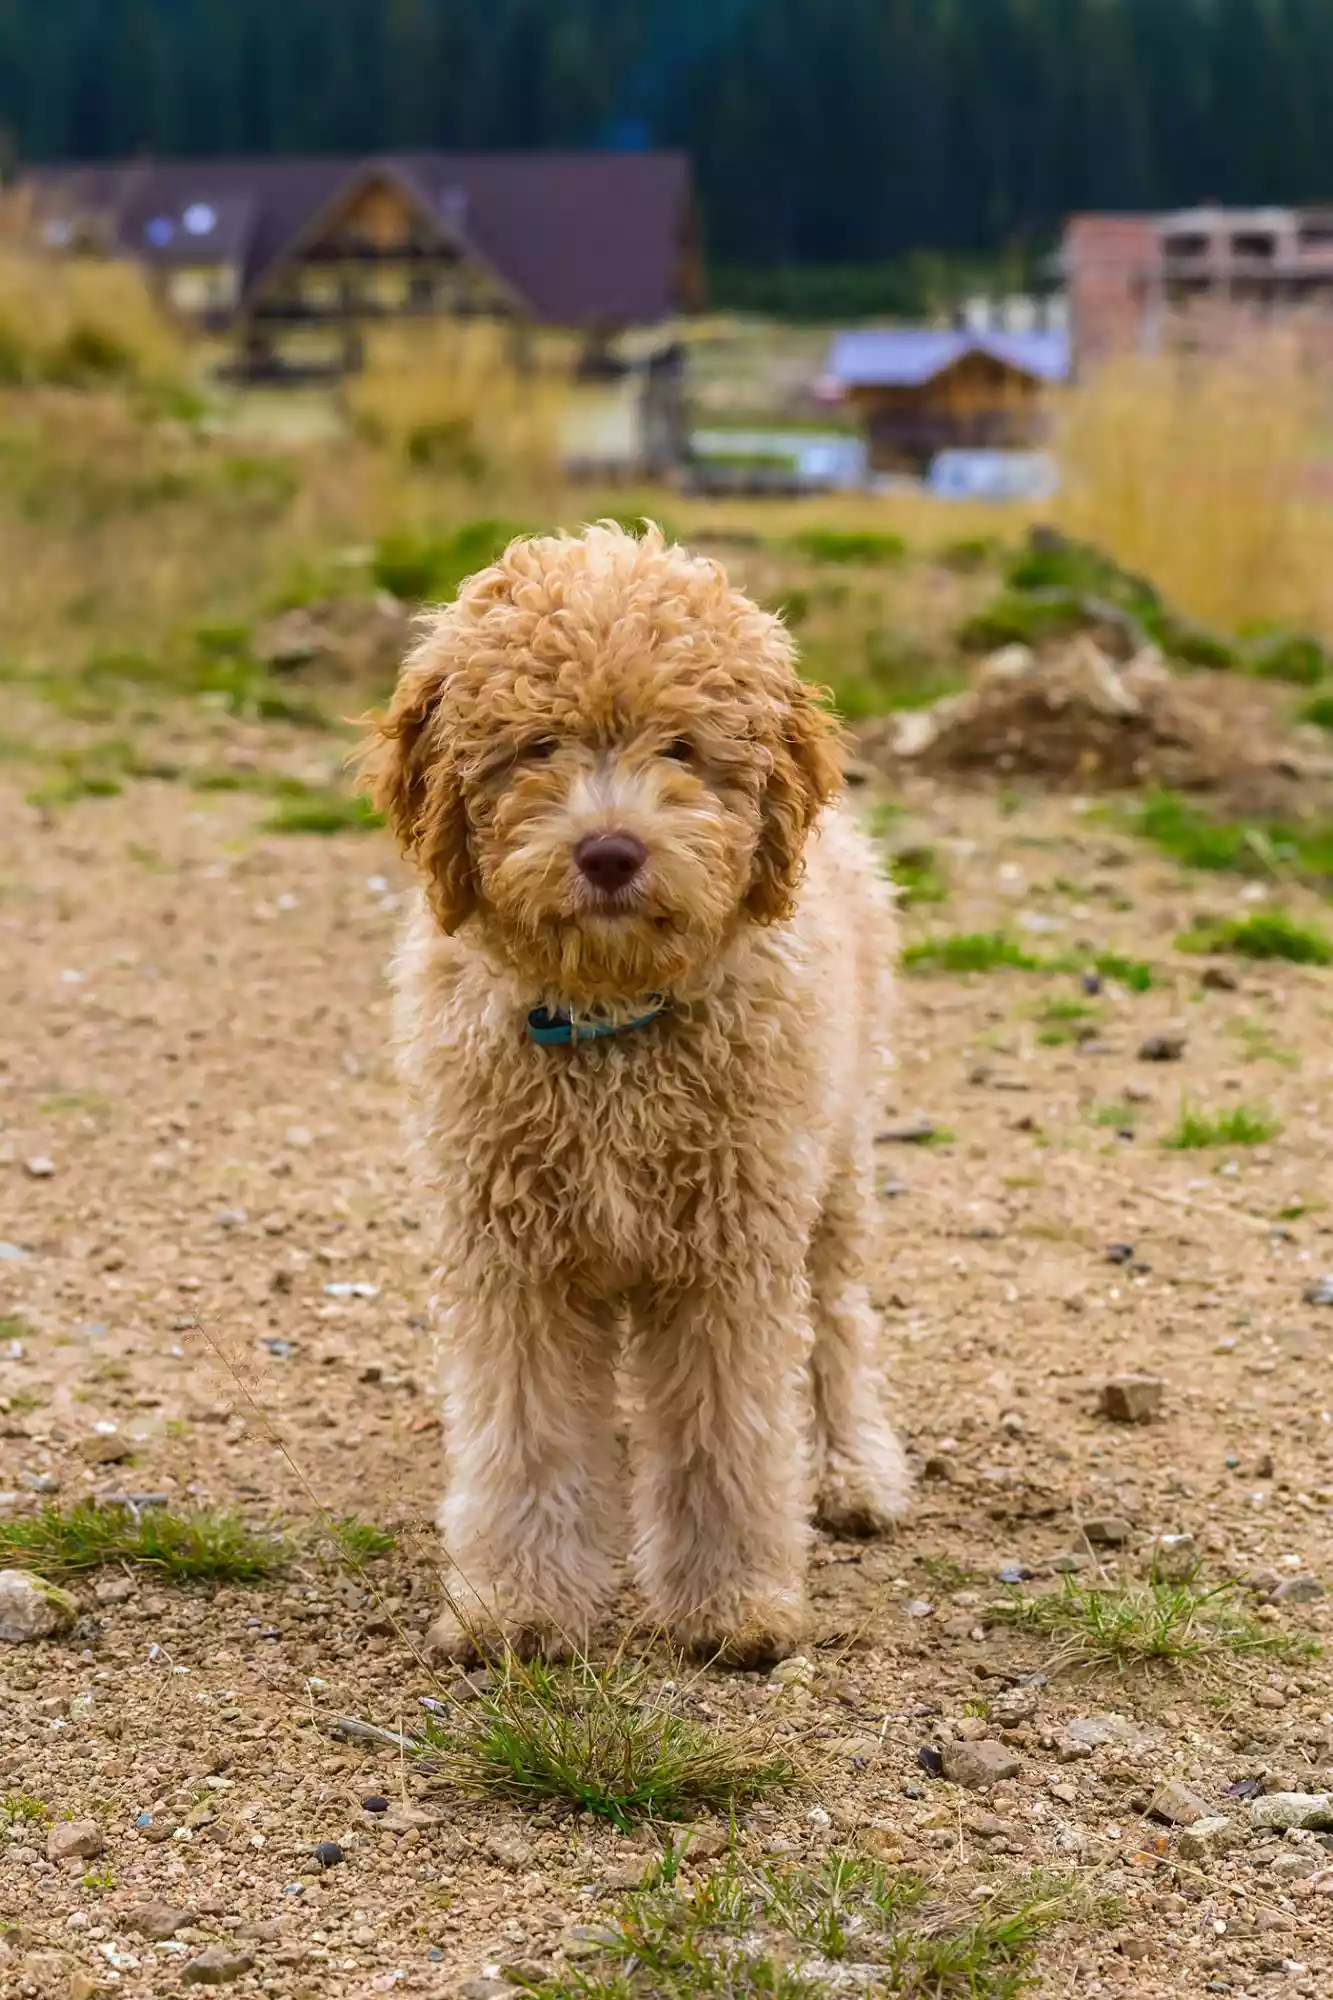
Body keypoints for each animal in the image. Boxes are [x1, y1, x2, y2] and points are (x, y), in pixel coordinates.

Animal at [360, 516, 904, 1656]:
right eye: (536, 746)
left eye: (684, 749)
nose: (610, 851)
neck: (610, 1030)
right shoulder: (511, 1260)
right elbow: (524, 1444)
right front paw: (518, 1603)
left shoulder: (727, 1256)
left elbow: (726, 1442)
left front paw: (733, 1605)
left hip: (833, 1166)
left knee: (837, 1323)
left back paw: (851, 1471)